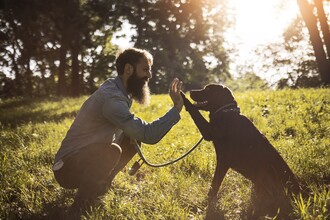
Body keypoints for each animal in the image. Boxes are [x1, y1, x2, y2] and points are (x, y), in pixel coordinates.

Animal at [182, 84, 300, 217]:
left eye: (208, 89)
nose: (191, 91)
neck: (226, 112)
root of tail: (299, 191)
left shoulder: (213, 142)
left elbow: (215, 184)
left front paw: (181, 95)